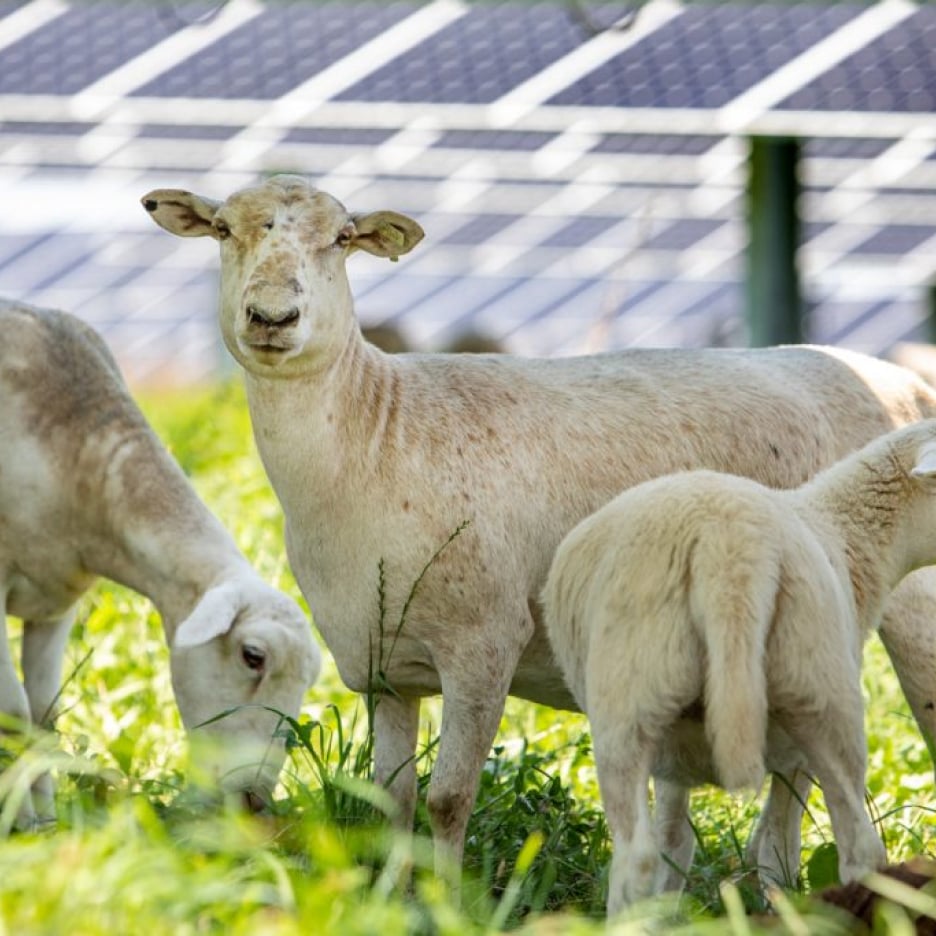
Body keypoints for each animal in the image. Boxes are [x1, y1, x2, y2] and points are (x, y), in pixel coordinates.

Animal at [0, 299, 321, 828]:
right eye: (253, 656)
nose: (253, 801)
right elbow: (15, 713)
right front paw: (21, 824)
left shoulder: (56, 603)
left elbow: (44, 717)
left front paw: (46, 823)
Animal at [541, 418, 936, 914]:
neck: (851, 536)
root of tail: (731, 551)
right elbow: (722, 845)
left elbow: (691, 845)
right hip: (819, 686)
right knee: (860, 848)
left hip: (632, 697)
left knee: (637, 859)